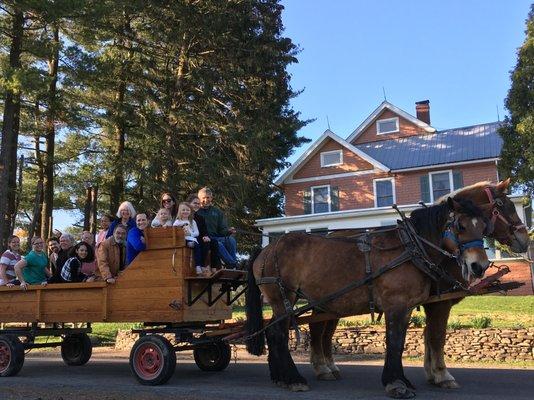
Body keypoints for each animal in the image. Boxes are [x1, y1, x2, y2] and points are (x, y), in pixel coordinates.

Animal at [247, 197, 490, 396]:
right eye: (461, 225)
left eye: (484, 227)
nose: (480, 266)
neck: (410, 247)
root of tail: (266, 250)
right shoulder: (397, 304)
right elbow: (395, 342)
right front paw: (396, 383)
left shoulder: (407, 307)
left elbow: (403, 341)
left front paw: (404, 380)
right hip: (282, 297)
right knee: (279, 334)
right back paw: (293, 378)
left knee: (274, 332)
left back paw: (281, 377)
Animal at [306, 180, 532, 390]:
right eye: (503, 205)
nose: (524, 239)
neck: (423, 244)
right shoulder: (439, 303)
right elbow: (437, 336)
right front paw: (442, 374)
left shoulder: (431, 302)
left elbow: (428, 335)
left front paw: (432, 373)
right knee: (317, 329)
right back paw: (322, 368)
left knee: (326, 331)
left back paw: (329, 366)